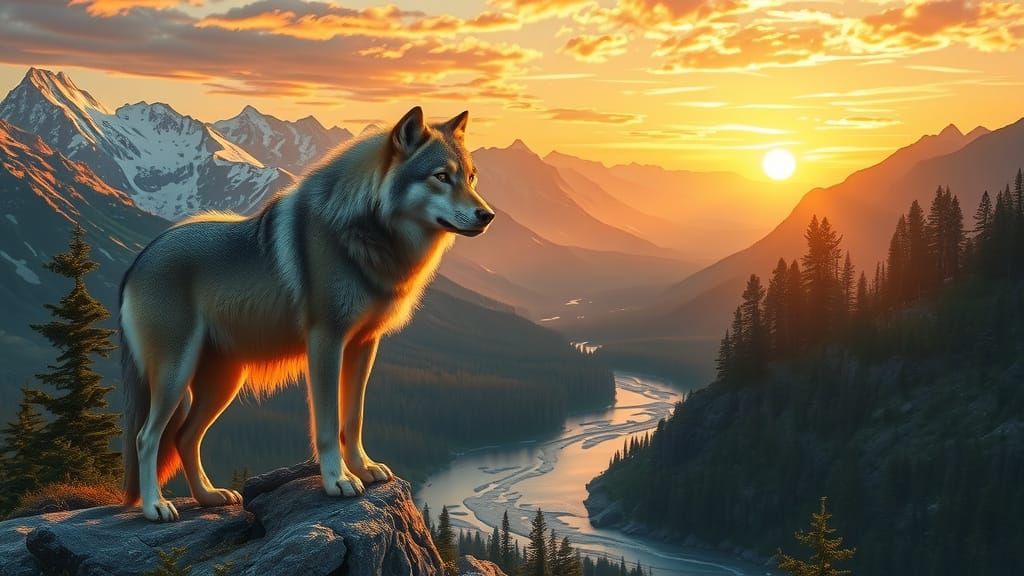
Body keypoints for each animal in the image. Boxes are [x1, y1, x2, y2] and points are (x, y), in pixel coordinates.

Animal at [119, 107, 494, 521]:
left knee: (185, 436)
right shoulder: (326, 342)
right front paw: (338, 480)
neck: (364, 230)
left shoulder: (364, 345)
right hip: (175, 375)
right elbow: (328, 424)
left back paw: (208, 497)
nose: (487, 215)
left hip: (223, 382)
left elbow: (354, 418)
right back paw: (155, 506)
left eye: (471, 177)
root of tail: (139, 259)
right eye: (441, 176)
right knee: (147, 437)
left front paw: (364, 468)